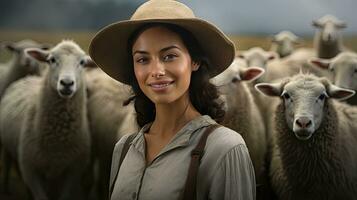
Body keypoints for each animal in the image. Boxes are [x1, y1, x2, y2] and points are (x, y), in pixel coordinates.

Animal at [0, 40, 94, 200]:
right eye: (51, 60)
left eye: (82, 62)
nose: (67, 83)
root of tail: (29, 78)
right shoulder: (30, 169)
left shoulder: (73, 171)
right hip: (7, 147)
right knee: (6, 164)